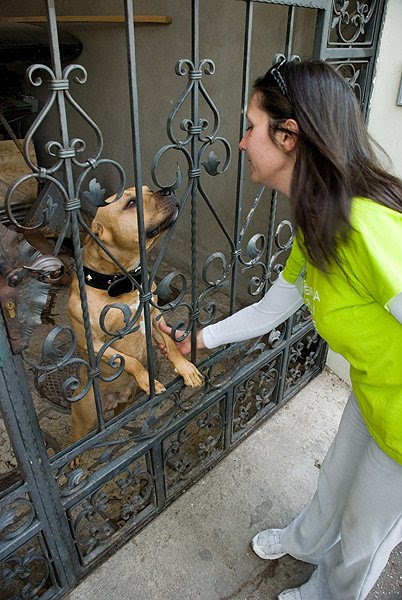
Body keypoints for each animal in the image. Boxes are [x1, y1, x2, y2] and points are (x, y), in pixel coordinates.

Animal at [68, 185, 204, 442]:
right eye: (131, 203)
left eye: (148, 190)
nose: (168, 190)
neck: (121, 282)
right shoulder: (92, 345)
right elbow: (129, 360)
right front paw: (146, 379)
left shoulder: (152, 321)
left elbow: (171, 344)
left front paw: (185, 368)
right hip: (84, 422)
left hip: (125, 403)